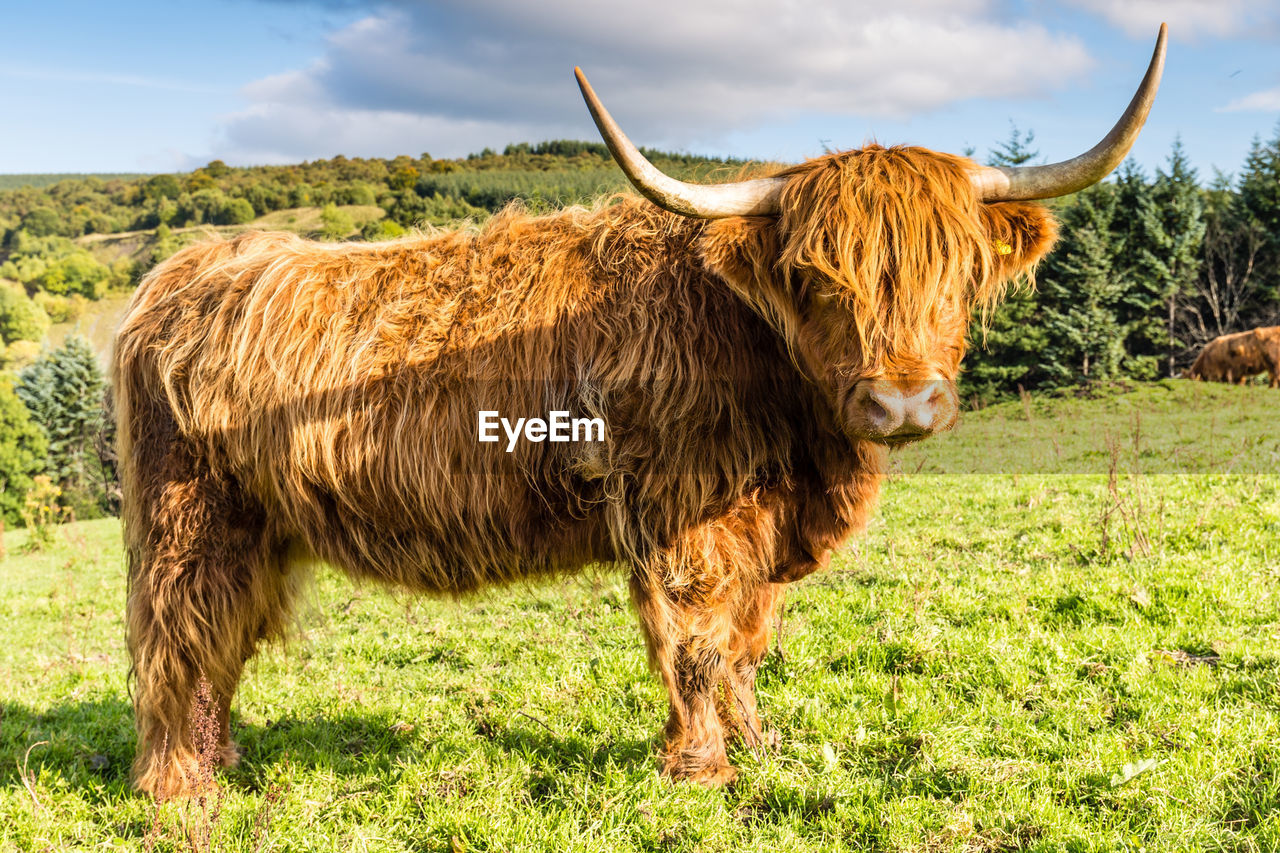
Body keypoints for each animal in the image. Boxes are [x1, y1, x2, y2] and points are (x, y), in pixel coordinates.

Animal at [117, 28, 1172, 799]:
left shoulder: (761, 523)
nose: (903, 399)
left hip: (257, 530)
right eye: (813, 276)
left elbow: (747, 642)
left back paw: (220, 757)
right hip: (186, 516)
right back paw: (178, 787)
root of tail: (181, 274)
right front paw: (700, 765)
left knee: (222, 637)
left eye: (955, 272)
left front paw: (762, 746)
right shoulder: (683, 511)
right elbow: (698, 639)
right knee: (176, 636)